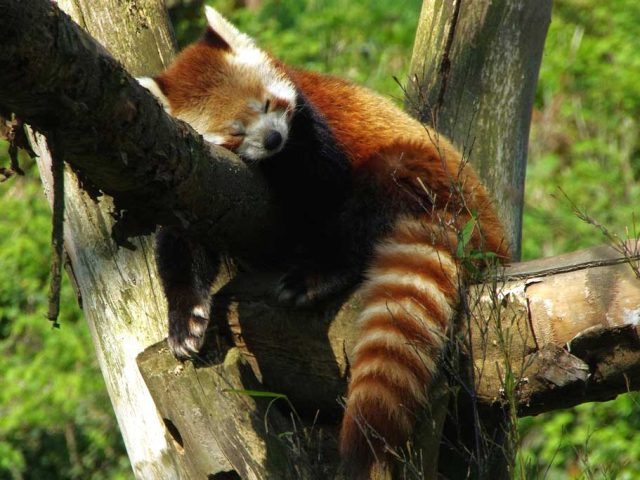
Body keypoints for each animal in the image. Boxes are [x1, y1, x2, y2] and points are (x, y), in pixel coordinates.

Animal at [138, 5, 508, 478]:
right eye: (236, 131)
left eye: (267, 104)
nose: (273, 138)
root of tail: (481, 219)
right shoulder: (195, 184)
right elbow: (182, 247)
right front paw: (186, 321)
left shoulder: (313, 128)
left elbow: (322, 183)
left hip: (417, 171)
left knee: (364, 210)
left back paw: (318, 275)